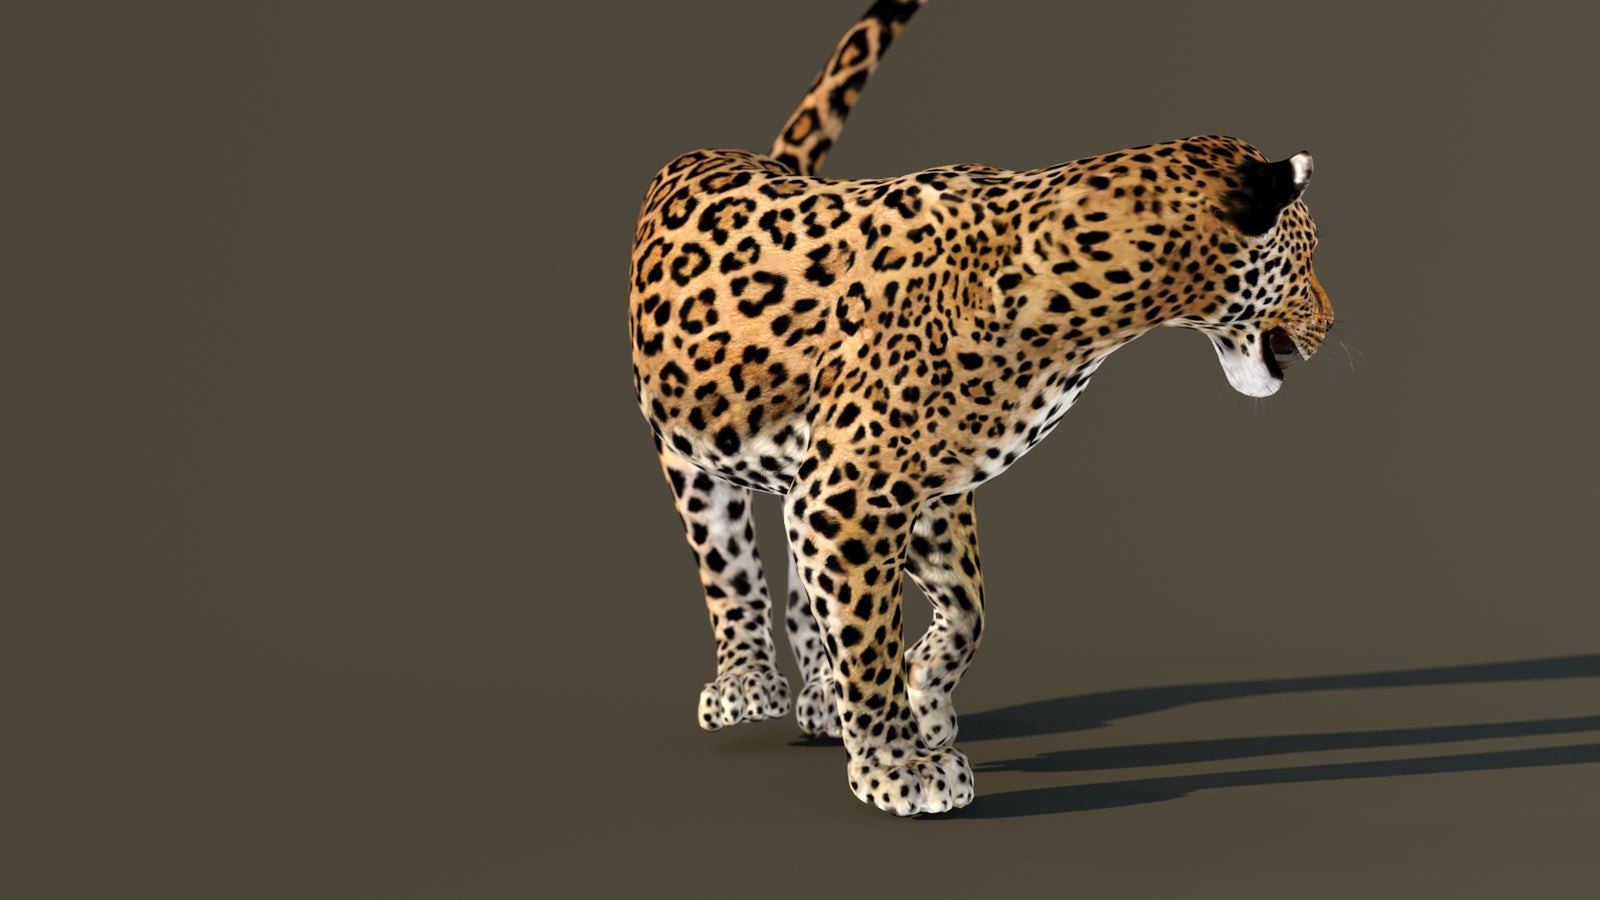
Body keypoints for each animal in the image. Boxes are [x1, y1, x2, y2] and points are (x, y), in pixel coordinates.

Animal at [627, 0, 1333, 816]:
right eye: (1310, 256)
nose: (1333, 321)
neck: (1088, 312)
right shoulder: (849, 498)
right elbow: (867, 633)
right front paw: (900, 765)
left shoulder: (923, 494)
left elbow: (968, 608)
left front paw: (923, 693)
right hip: (690, 453)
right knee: (729, 563)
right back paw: (747, 682)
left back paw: (820, 698)